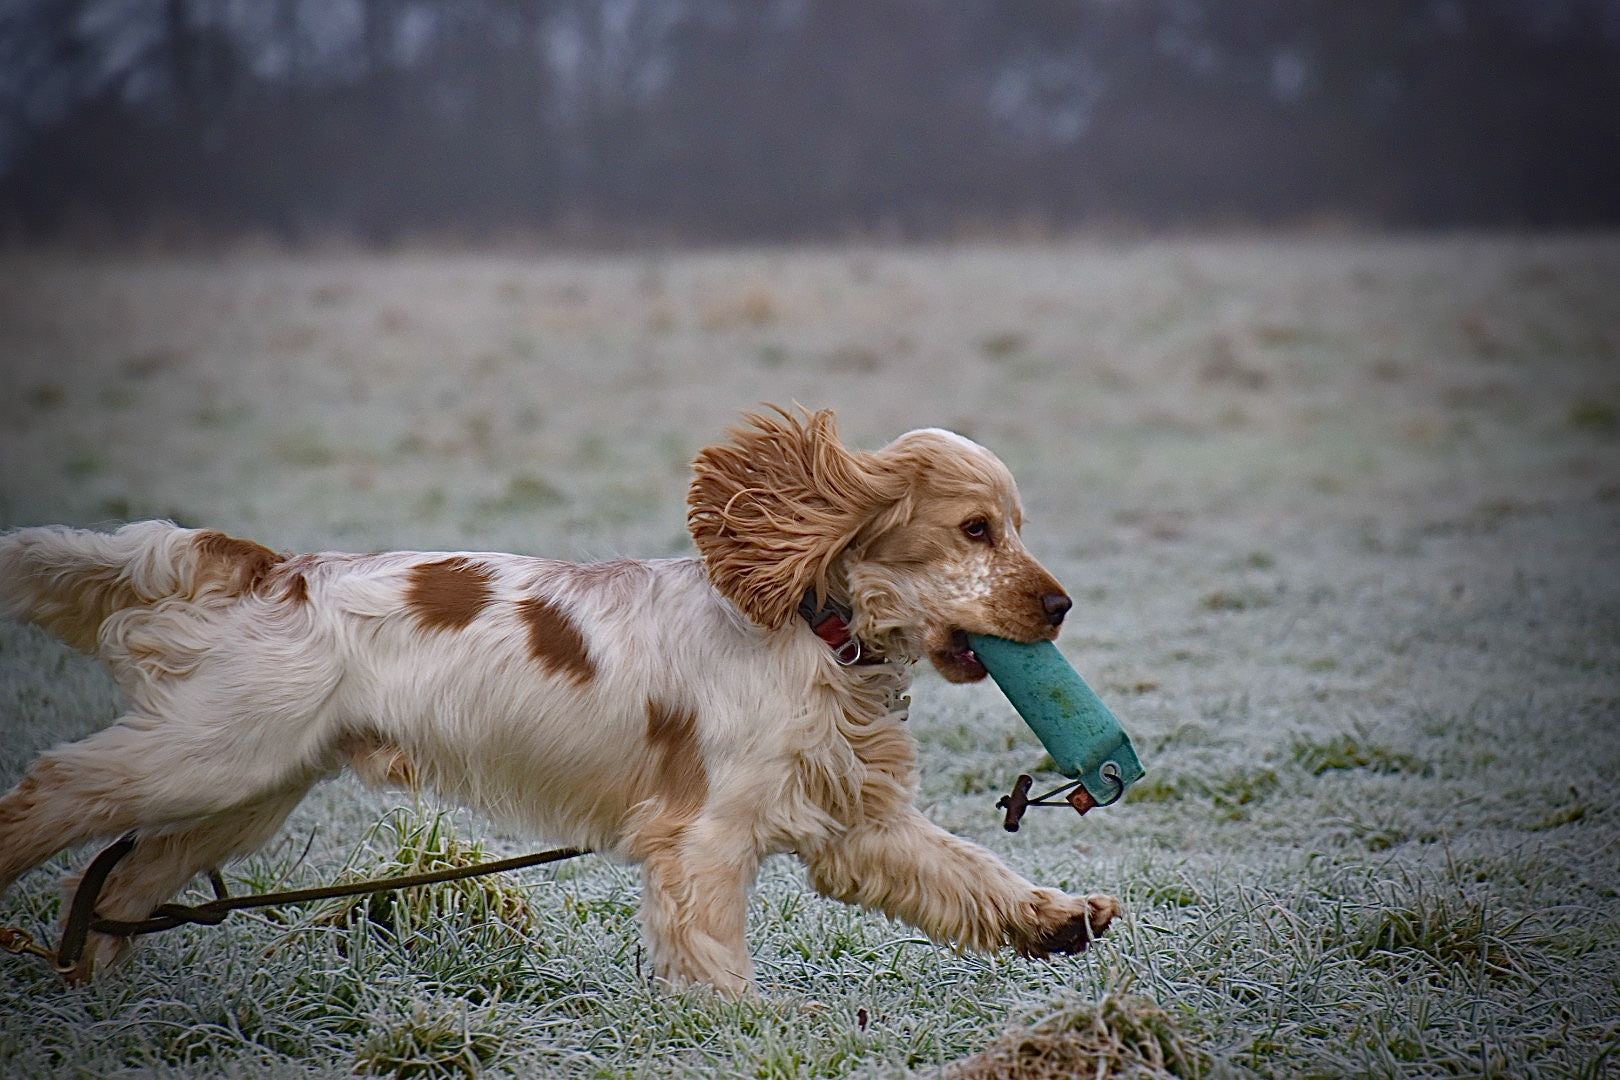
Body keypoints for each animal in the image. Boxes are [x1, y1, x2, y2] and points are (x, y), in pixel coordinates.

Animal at [0, 408, 1121, 997]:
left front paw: (1062, 919)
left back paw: (93, 993)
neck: (812, 631)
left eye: (1014, 527)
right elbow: (714, 955)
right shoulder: (705, 837)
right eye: (976, 530)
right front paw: (743, 1027)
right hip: (209, 754)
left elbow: (968, 872)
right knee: (54, 791)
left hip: (248, 788)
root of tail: (269, 568)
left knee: (127, 879)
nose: (1061, 605)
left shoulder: (858, 821)